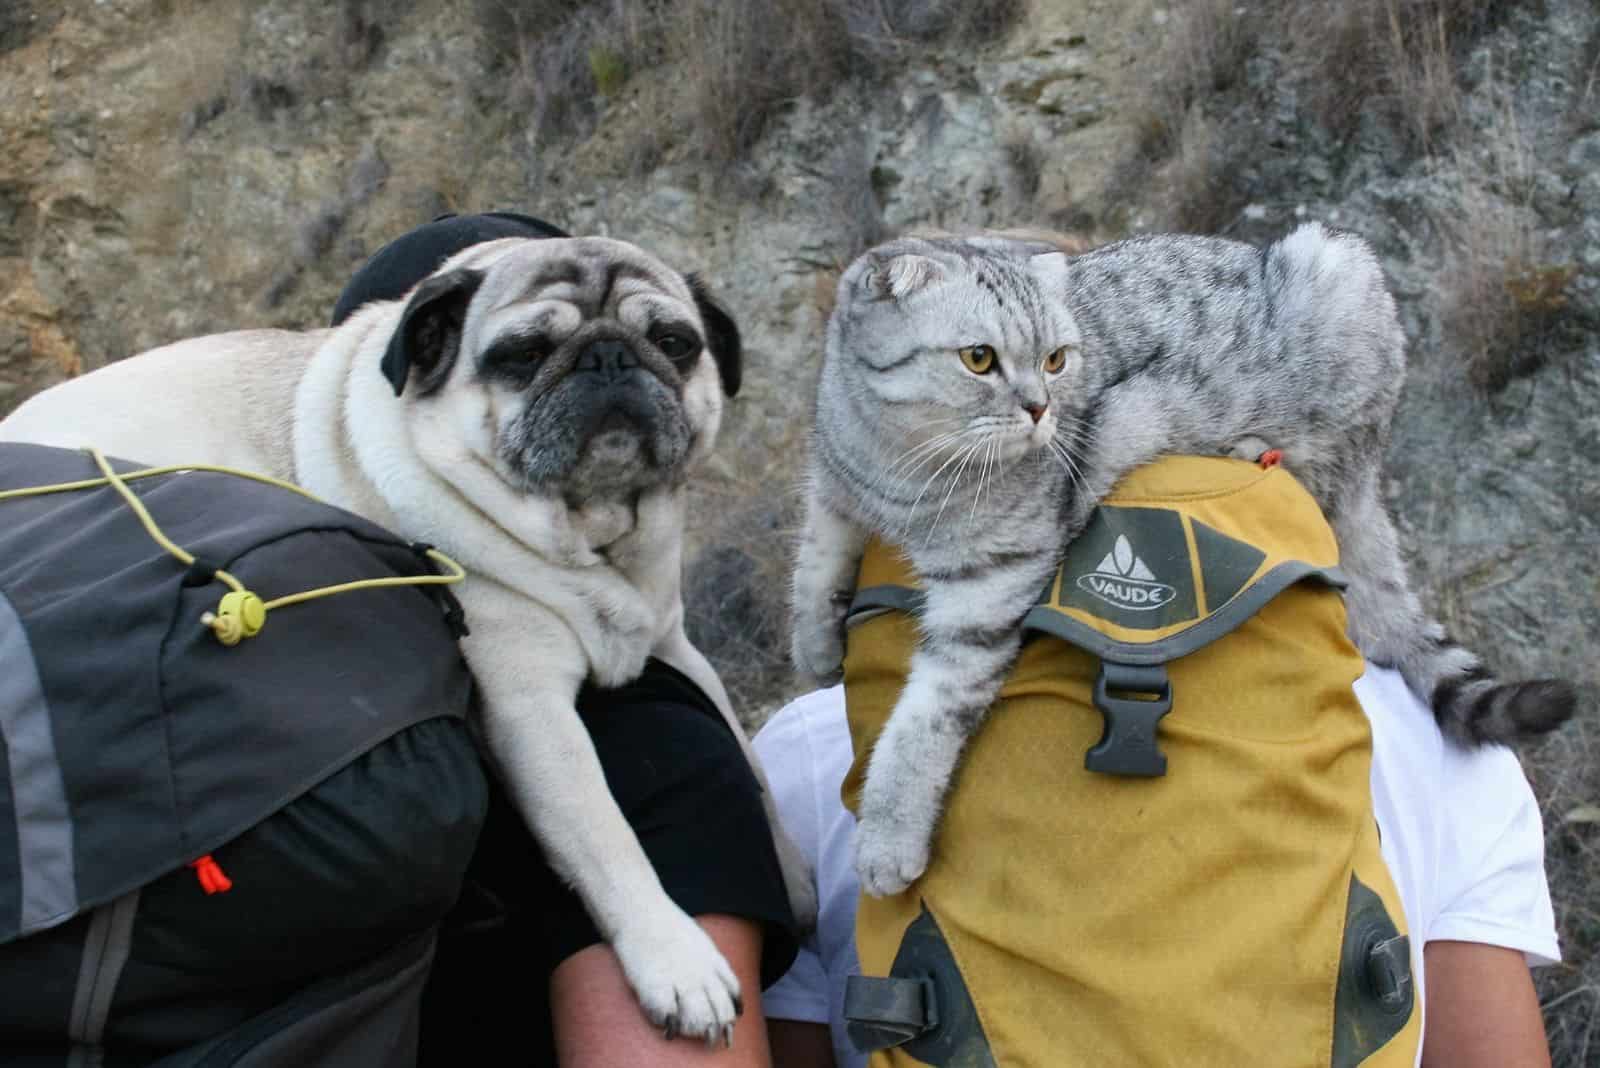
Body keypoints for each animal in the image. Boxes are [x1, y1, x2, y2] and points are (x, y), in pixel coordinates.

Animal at [0, 238, 819, 1048]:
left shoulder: (675, 645)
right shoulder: (530, 711)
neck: (592, 539)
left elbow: (749, 763)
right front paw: (674, 958)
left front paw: (797, 877)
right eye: (523, 354)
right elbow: (607, 836)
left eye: (675, 343)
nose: (609, 357)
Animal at [790, 225, 1574, 901]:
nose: (1042, 409)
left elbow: (923, 722)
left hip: (1337, 285)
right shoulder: (834, 481)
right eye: (978, 359)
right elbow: (813, 559)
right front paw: (816, 643)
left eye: (1057, 359)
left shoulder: (991, 584)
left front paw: (888, 840)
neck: (901, 474)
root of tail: (1371, 471)